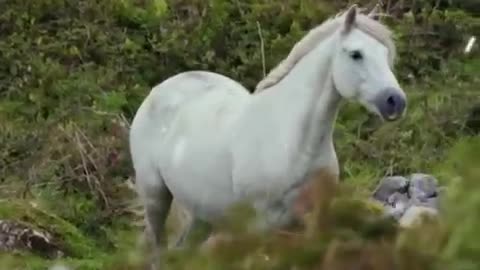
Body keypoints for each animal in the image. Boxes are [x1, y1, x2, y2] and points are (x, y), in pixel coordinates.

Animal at [129, 3, 406, 268]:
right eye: (356, 54)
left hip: (200, 211)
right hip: (156, 198)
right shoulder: (262, 227)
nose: (395, 101)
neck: (293, 143)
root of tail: (159, 90)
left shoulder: (310, 223)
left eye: (385, 55)